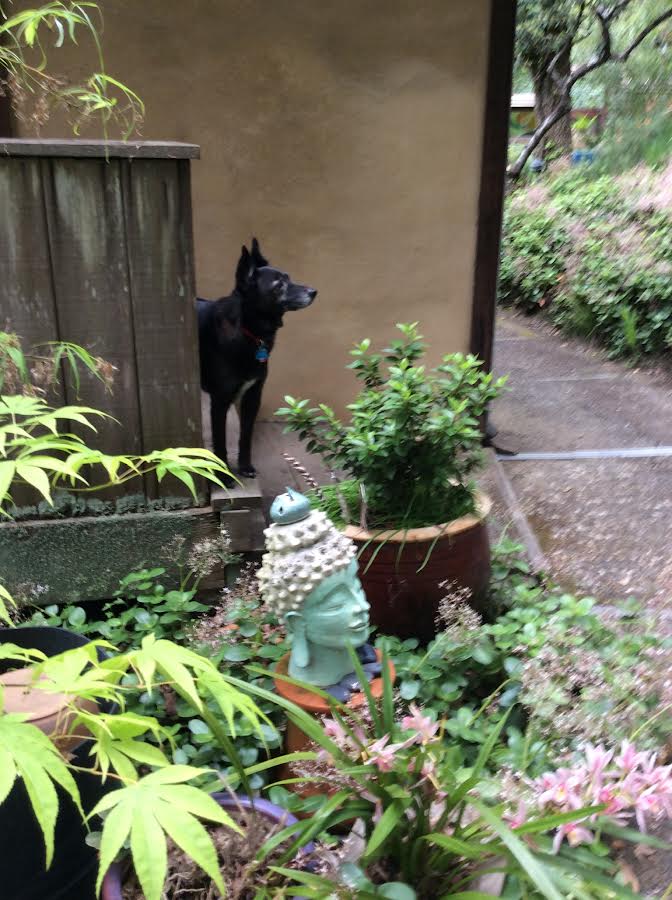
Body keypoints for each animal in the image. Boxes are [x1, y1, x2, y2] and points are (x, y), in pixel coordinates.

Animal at [197, 236, 318, 482]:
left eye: (289, 277)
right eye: (278, 285)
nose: (314, 291)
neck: (248, 330)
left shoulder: (253, 396)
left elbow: (246, 436)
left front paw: (245, 467)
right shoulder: (220, 399)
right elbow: (220, 441)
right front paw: (224, 475)